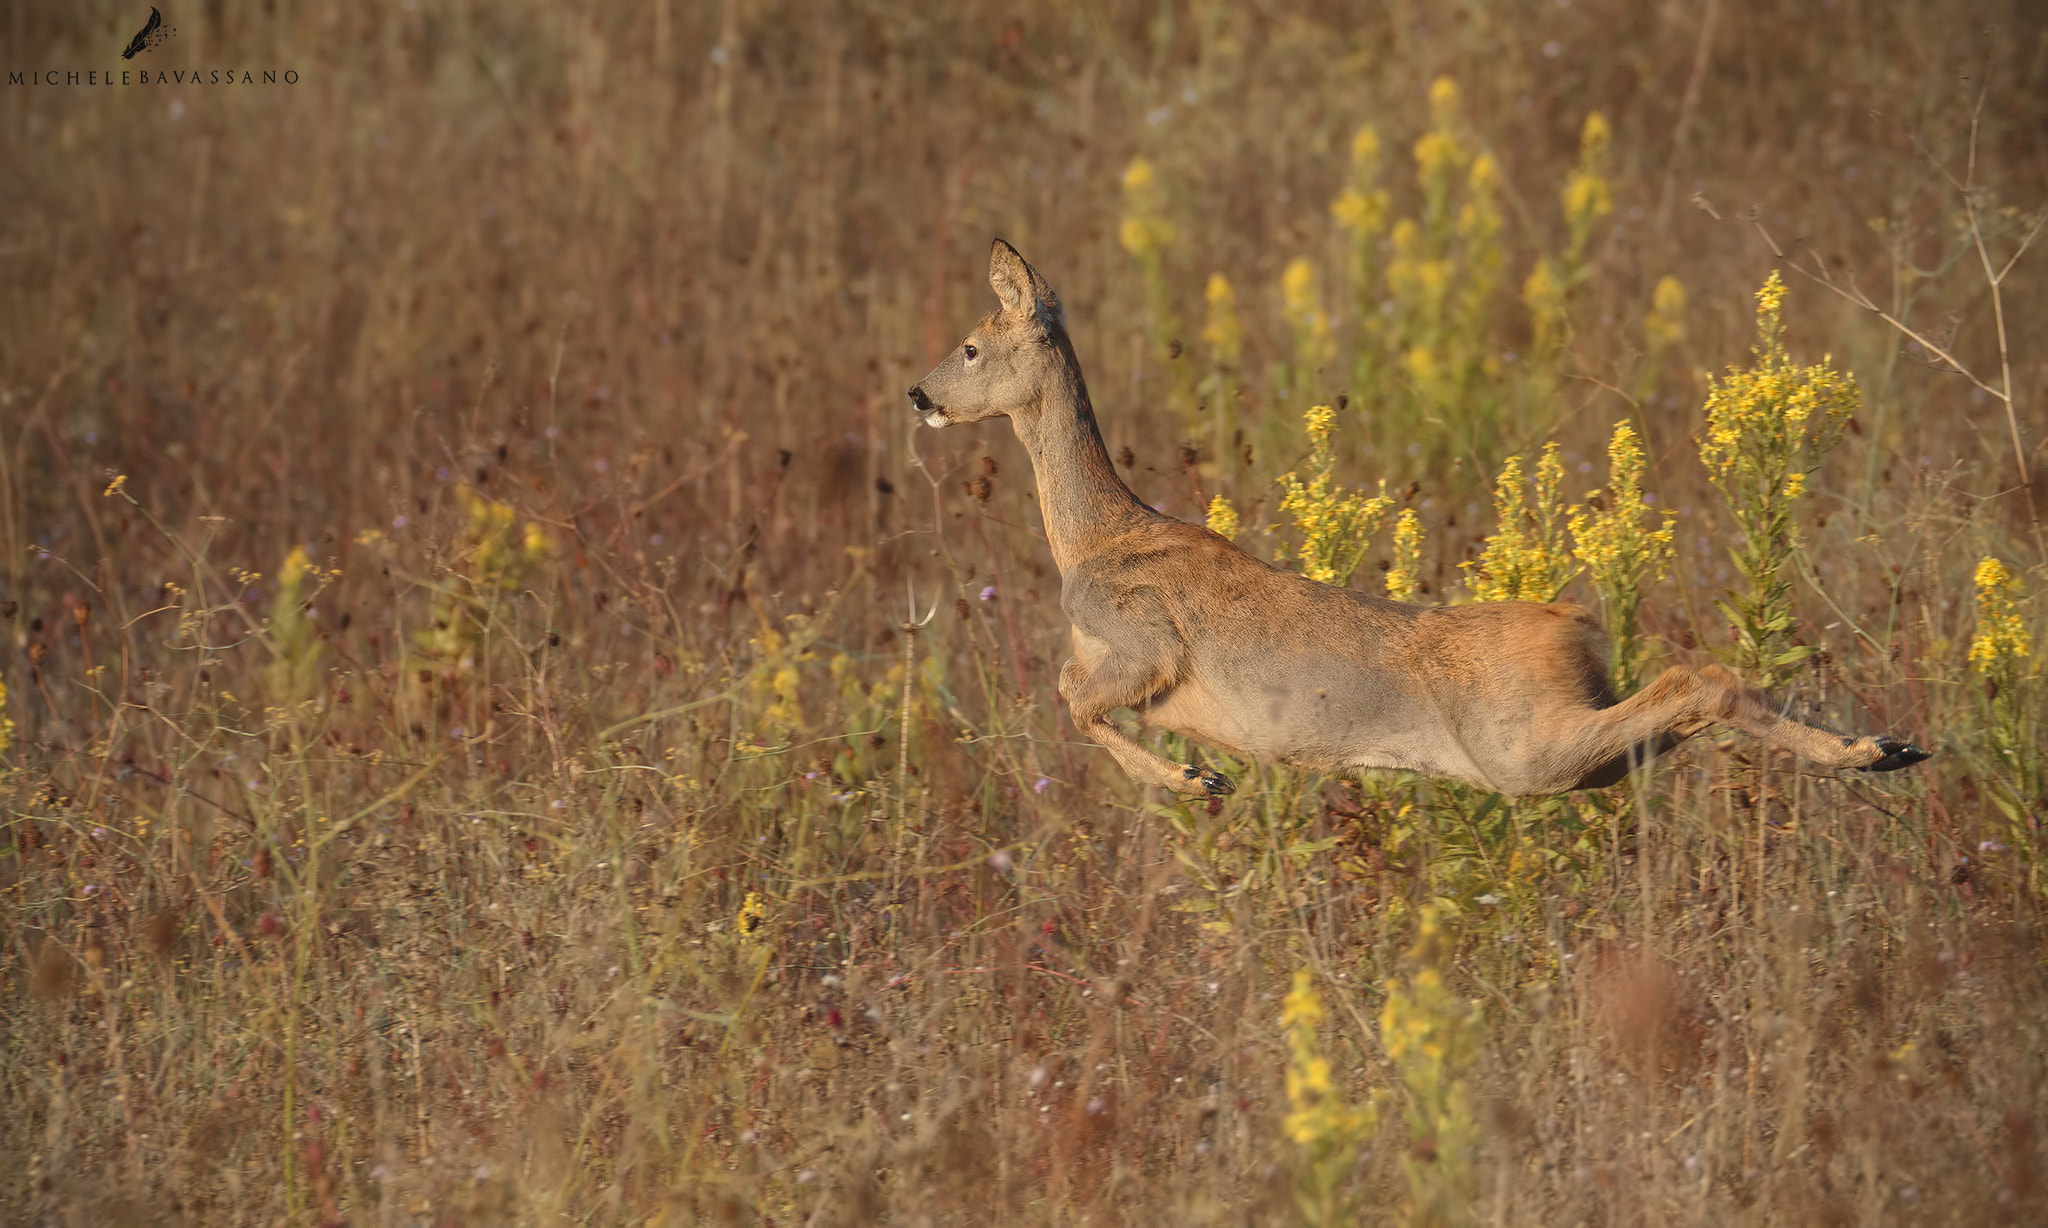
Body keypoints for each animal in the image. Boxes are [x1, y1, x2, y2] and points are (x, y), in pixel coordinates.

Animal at [907, 239, 1931, 798]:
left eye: (972, 344)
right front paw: (1200, 778)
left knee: (1698, 679)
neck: (1091, 537)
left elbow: (1073, 699)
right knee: (1685, 707)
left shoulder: (1144, 642)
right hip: (1568, 747)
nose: (919, 392)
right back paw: (1885, 746)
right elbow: (1070, 695)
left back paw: (1878, 749)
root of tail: (1569, 620)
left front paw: (1201, 780)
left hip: (1522, 745)